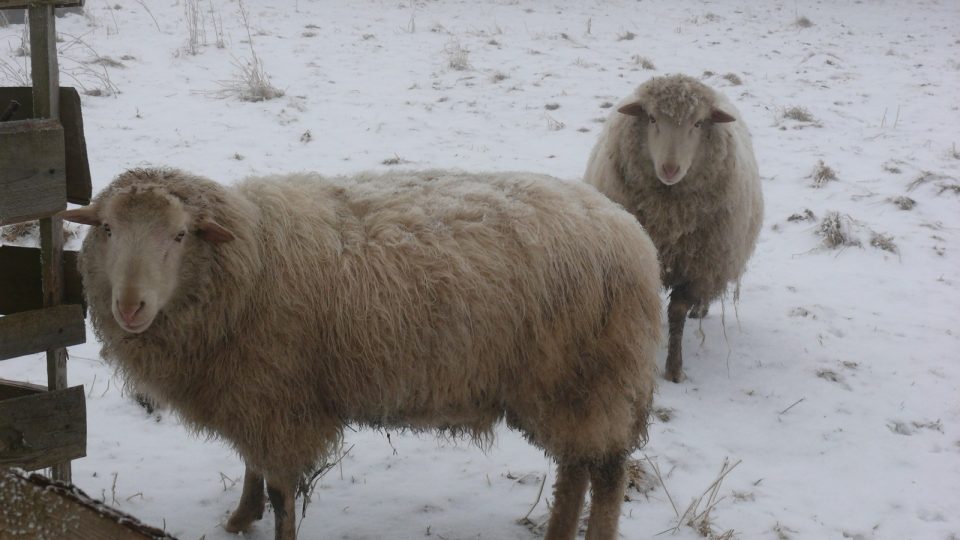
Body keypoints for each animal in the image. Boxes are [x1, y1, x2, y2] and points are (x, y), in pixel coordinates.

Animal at [58, 169, 660, 540]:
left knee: (606, 473)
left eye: (180, 235)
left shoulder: (280, 400)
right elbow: (252, 464)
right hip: (570, 386)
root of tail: (631, 232)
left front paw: (265, 522)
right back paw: (558, 532)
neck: (252, 258)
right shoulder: (255, 393)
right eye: (108, 228)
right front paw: (239, 518)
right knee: (575, 467)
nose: (130, 306)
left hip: (593, 376)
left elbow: (281, 490)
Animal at [584, 74, 764, 382]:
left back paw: (701, 309)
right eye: (652, 118)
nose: (670, 168)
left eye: (698, 123)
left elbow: (678, 312)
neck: (670, 216)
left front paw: (674, 368)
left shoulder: (698, 266)